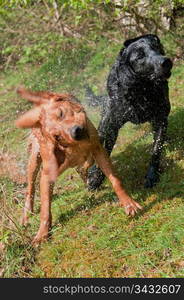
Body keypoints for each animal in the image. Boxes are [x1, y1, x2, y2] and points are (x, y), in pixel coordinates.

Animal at [15, 88, 142, 245]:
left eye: (61, 113)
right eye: (57, 136)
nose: (75, 131)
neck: (75, 147)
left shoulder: (98, 150)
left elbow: (115, 181)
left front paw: (128, 203)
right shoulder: (47, 175)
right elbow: (45, 209)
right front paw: (42, 234)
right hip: (34, 160)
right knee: (30, 187)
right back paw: (27, 213)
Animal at [87, 34, 172, 191]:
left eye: (157, 47)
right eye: (140, 56)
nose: (165, 61)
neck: (141, 90)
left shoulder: (160, 118)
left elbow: (156, 149)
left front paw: (152, 175)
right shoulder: (112, 127)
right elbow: (105, 153)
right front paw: (95, 178)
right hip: (105, 119)